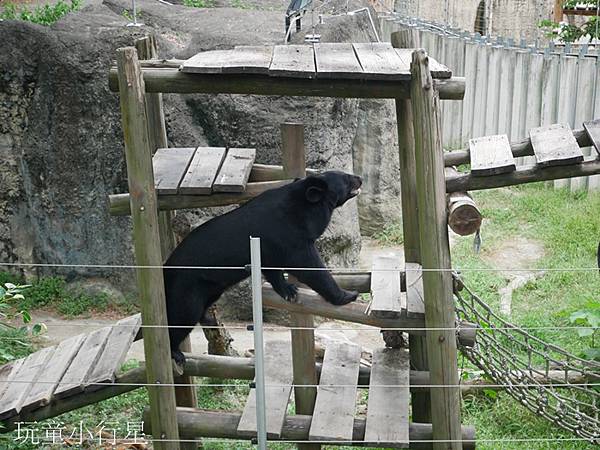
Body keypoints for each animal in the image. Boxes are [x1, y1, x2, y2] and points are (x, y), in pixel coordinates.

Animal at [163, 171, 360, 364]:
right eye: (346, 178)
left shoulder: (269, 248)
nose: (360, 178)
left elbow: (272, 269)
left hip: (210, 287)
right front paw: (348, 295)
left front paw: (288, 290)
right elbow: (308, 266)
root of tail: (165, 269)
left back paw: (207, 319)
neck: (304, 206)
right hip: (185, 287)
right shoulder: (290, 237)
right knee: (182, 315)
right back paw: (176, 352)